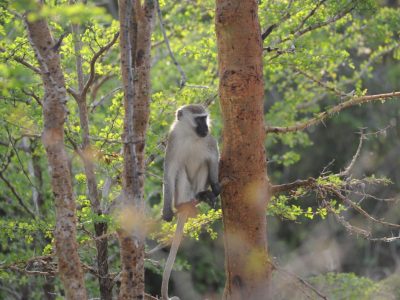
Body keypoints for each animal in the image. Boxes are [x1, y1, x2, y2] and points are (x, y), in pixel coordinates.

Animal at [161, 105, 220, 300]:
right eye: (198, 119)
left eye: (205, 118)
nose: (206, 127)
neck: (190, 136)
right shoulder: (173, 140)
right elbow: (170, 171)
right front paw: (166, 210)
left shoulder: (209, 140)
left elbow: (212, 159)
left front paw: (215, 186)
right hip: (184, 192)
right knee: (179, 171)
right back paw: (180, 206)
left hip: (196, 187)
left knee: (204, 165)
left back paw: (203, 194)